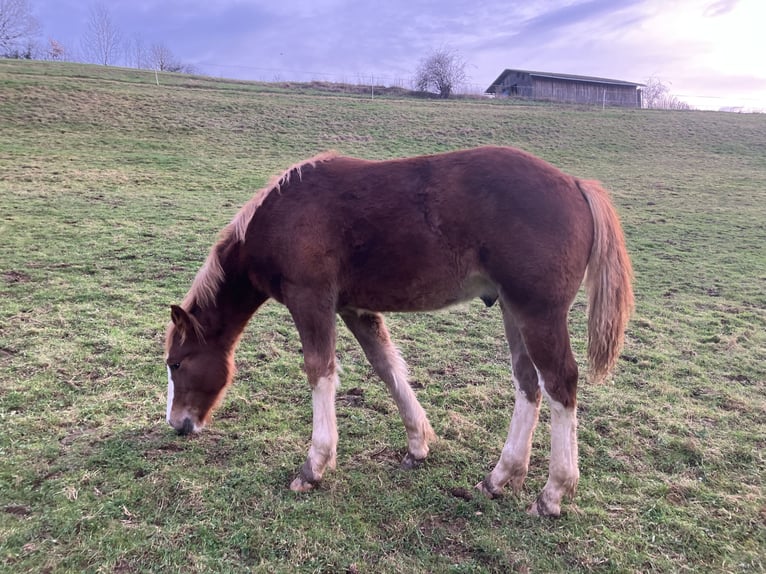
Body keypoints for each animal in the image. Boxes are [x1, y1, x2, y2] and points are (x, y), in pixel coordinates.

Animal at [164, 145, 636, 516]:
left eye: (176, 364)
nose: (178, 425)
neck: (282, 214)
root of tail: (575, 184)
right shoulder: (354, 307)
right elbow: (387, 368)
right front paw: (418, 445)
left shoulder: (310, 298)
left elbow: (320, 371)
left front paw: (314, 467)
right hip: (514, 309)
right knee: (528, 383)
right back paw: (500, 478)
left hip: (539, 313)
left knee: (560, 384)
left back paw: (553, 493)